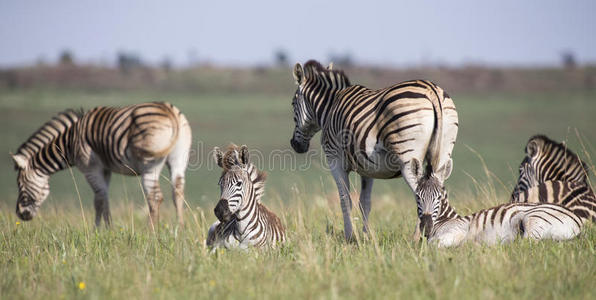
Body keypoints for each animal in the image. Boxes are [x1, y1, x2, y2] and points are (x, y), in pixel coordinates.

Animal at [10, 102, 192, 226]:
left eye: (20, 184)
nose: (19, 214)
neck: (69, 142)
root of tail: (170, 111)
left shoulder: (90, 168)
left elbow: (98, 200)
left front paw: (97, 231)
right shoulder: (106, 169)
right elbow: (105, 198)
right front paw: (107, 229)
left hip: (149, 164)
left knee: (154, 197)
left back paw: (151, 233)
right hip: (179, 158)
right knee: (178, 192)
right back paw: (179, 230)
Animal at [288, 59, 456, 240]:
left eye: (293, 104)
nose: (295, 145)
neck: (330, 107)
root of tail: (433, 91)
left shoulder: (335, 159)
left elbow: (345, 200)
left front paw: (349, 237)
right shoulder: (367, 168)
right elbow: (365, 203)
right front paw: (366, 237)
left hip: (407, 158)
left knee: (419, 191)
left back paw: (416, 238)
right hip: (443, 155)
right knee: (438, 189)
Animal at [416, 175, 584, 247]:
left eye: (438, 198)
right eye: (417, 196)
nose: (426, 226)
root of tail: (577, 221)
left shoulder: (457, 230)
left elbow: (432, 245)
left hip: (534, 219)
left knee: (523, 245)